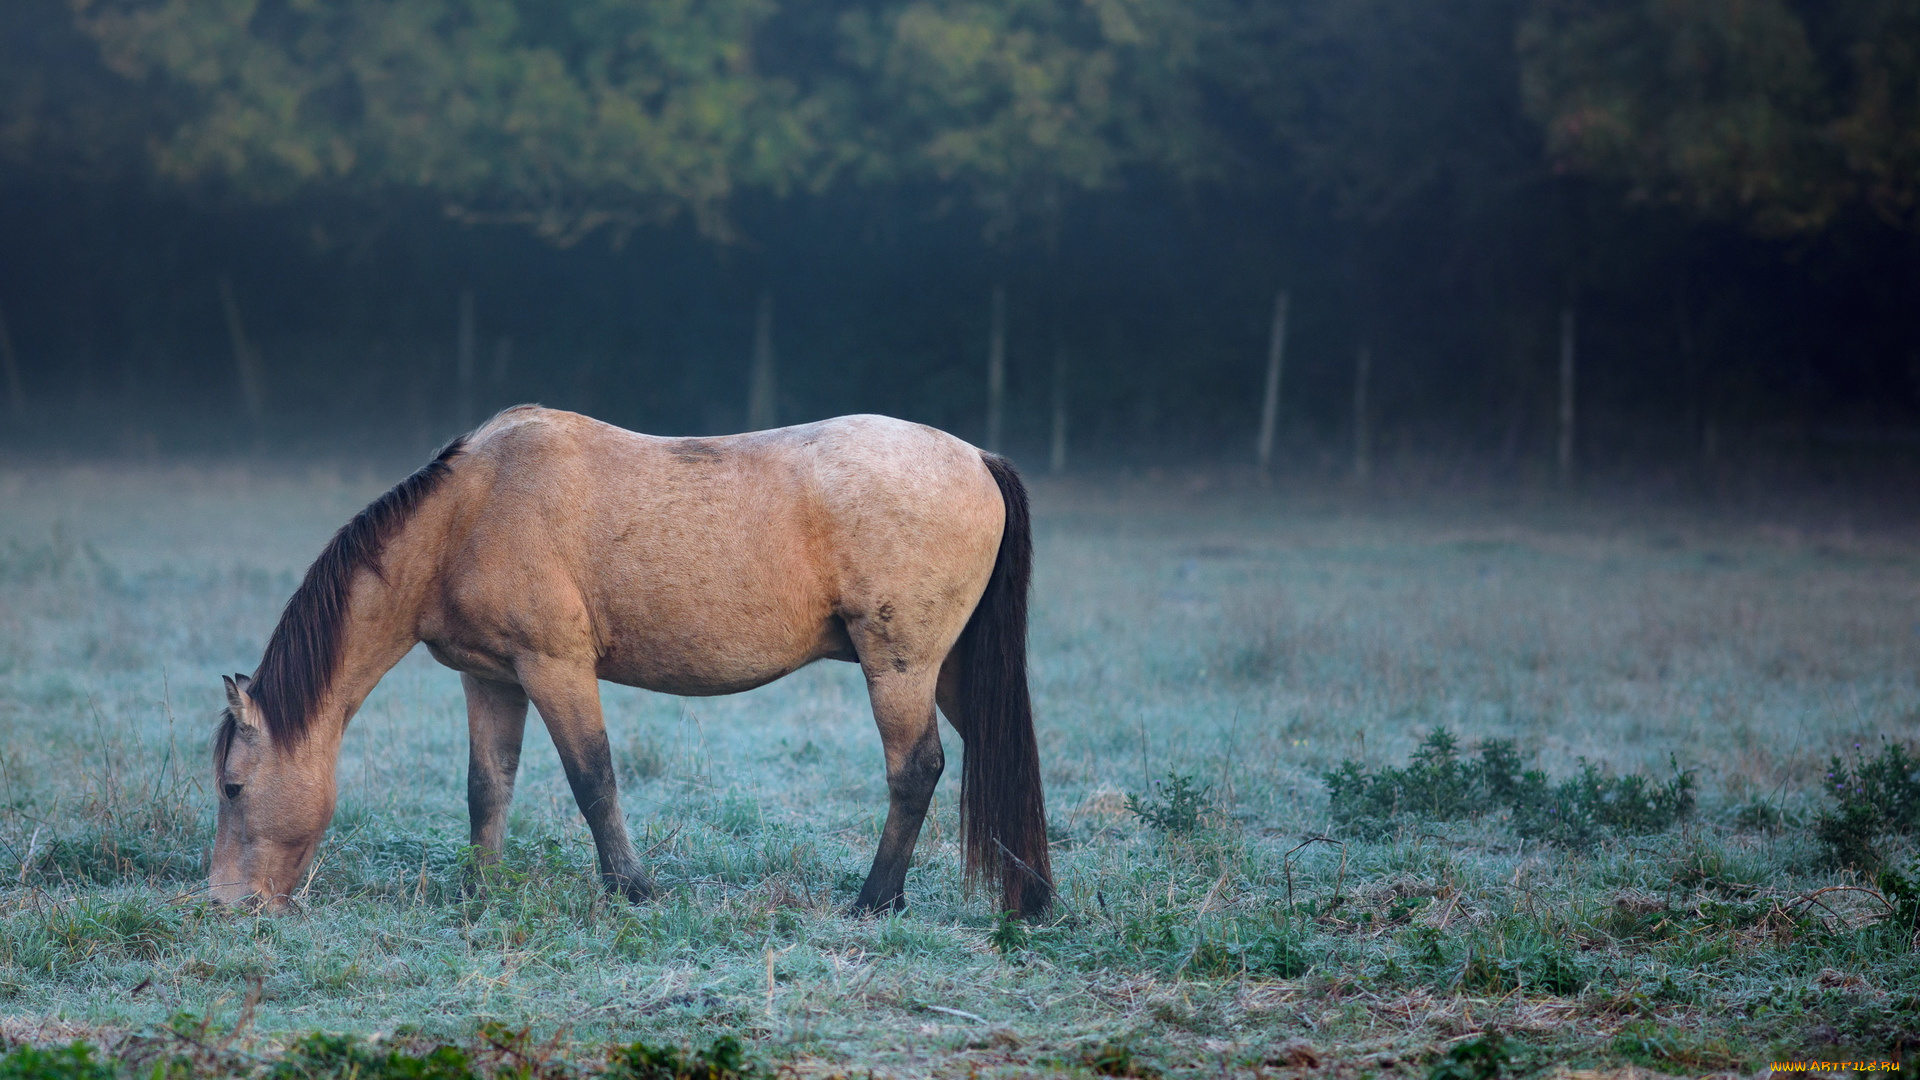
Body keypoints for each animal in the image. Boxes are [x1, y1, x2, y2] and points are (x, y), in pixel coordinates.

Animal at [210, 403, 1052, 914]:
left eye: (231, 787)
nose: (223, 901)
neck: (469, 512)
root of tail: (976, 457)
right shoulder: (491, 679)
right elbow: (488, 787)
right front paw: (481, 889)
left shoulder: (555, 667)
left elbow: (593, 779)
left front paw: (632, 888)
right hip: (950, 670)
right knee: (995, 754)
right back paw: (1032, 895)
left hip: (900, 668)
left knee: (916, 770)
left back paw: (875, 898)